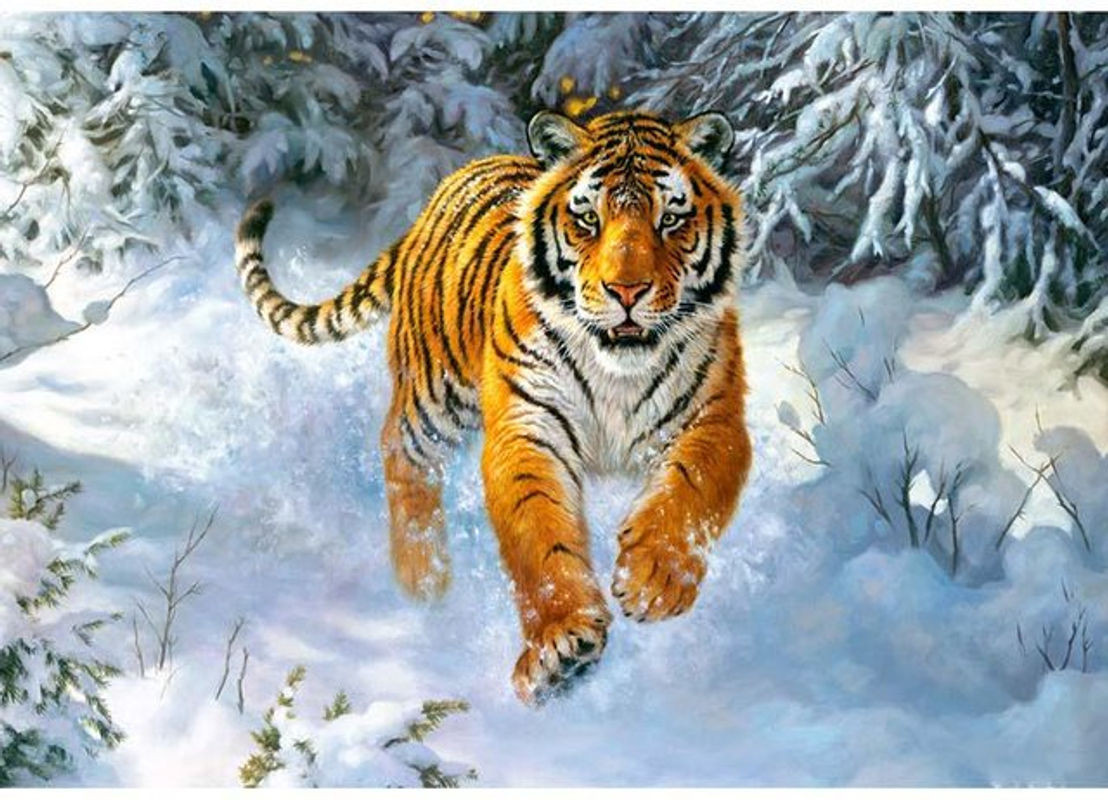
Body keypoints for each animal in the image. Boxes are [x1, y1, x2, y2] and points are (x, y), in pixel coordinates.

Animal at [233, 110, 753, 704]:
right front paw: (560, 647)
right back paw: (423, 583)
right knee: (401, 454)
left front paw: (654, 579)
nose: (626, 291)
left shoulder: (714, 416)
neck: (617, 370)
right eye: (588, 220)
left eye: (671, 219)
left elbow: (690, 492)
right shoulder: (528, 426)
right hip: (432, 395)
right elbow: (539, 535)